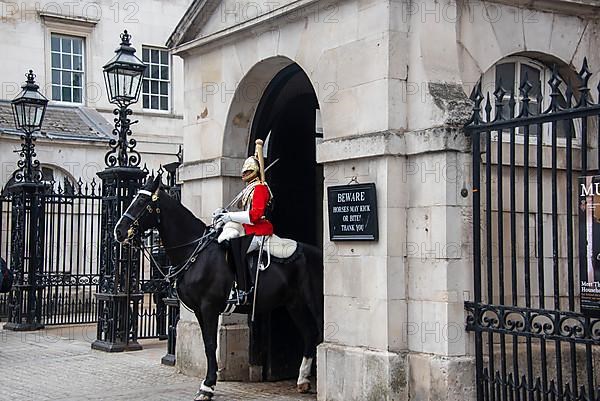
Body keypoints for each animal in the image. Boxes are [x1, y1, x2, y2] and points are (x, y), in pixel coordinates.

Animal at [115, 176, 326, 400]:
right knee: (309, 334)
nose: (118, 231)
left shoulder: (209, 307)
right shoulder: (199, 310)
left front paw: (207, 386)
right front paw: (208, 383)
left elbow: (210, 344)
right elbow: (207, 343)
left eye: (140, 201)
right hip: (294, 303)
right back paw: (303, 380)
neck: (195, 251)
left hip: (315, 302)